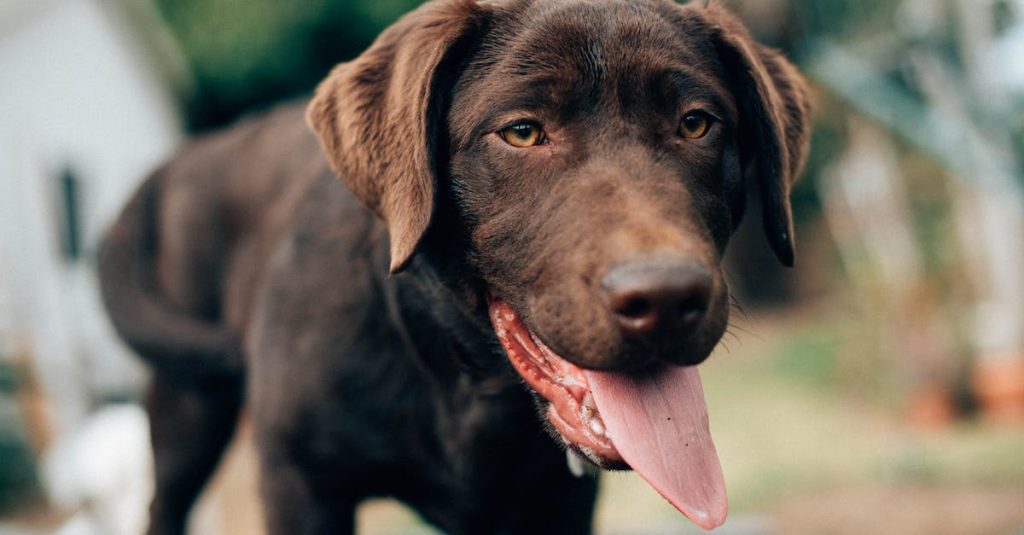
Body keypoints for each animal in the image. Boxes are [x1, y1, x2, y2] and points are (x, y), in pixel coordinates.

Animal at [99, 0, 811, 528]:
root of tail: (190, 154)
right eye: (522, 132)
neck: (466, 384)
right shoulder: (300, 482)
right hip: (187, 408)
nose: (665, 297)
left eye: (696, 123)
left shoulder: (558, 503)